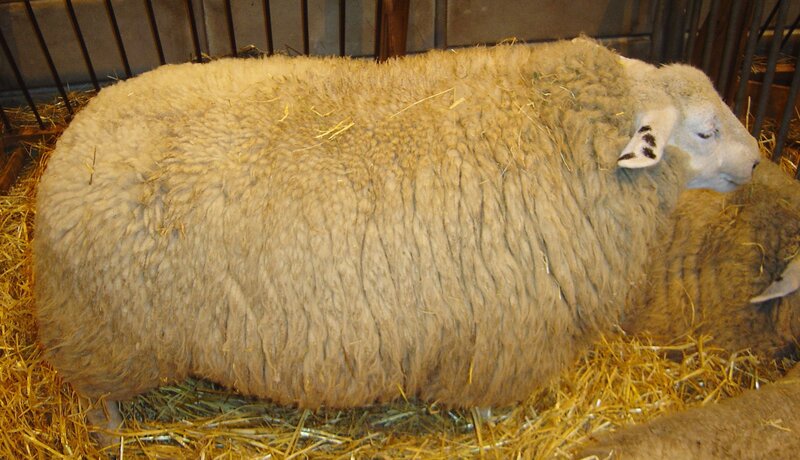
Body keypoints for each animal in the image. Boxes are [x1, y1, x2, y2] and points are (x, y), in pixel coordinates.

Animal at [33, 38, 759, 423]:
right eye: (703, 132)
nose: (756, 161)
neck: (552, 132)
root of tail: (72, 142)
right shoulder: (502, 336)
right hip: (103, 332)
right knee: (97, 400)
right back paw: (111, 433)